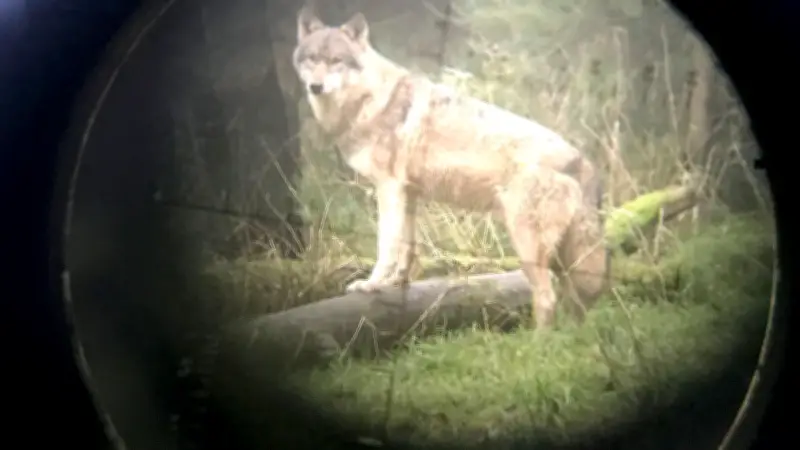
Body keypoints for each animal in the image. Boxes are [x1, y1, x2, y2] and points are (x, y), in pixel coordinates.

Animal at [292, 7, 610, 327]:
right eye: (313, 59)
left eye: (336, 61)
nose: (315, 87)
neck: (369, 100)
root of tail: (581, 160)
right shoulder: (409, 193)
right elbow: (408, 247)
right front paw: (398, 283)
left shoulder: (388, 188)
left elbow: (386, 246)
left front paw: (371, 285)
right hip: (561, 259)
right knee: (573, 303)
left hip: (528, 247)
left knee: (547, 299)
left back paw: (539, 341)